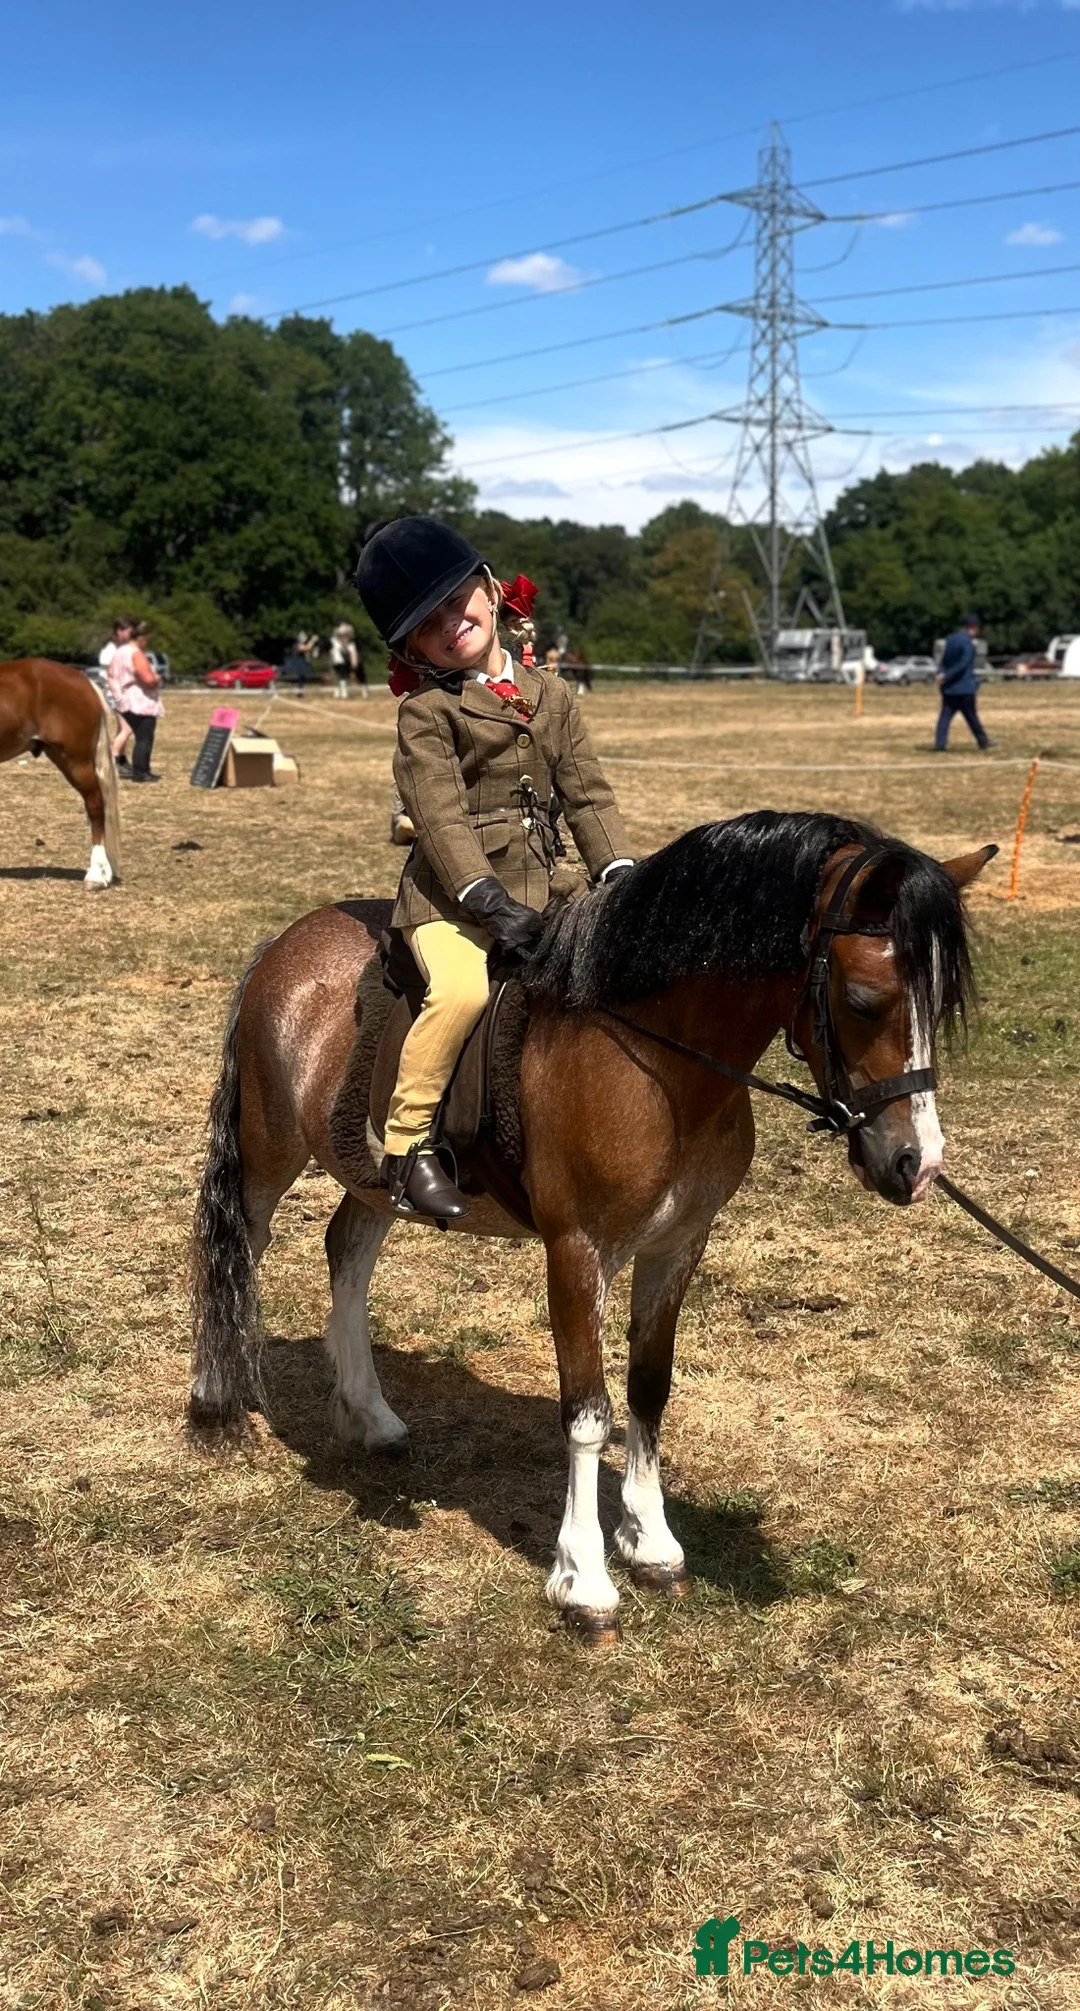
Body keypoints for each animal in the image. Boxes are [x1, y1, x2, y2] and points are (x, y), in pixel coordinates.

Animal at [190, 811, 994, 1641]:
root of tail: (288, 940)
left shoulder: (677, 1244)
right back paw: (217, 1399)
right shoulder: (578, 1252)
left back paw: (370, 1415)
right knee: (236, 1249)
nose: (918, 1162)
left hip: (375, 1175)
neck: (657, 1060)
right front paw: (584, 1579)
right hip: (268, 1154)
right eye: (864, 999)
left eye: (940, 1004)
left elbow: (647, 1387)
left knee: (347, 1252)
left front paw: (653, 1542)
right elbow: (587, 1411)